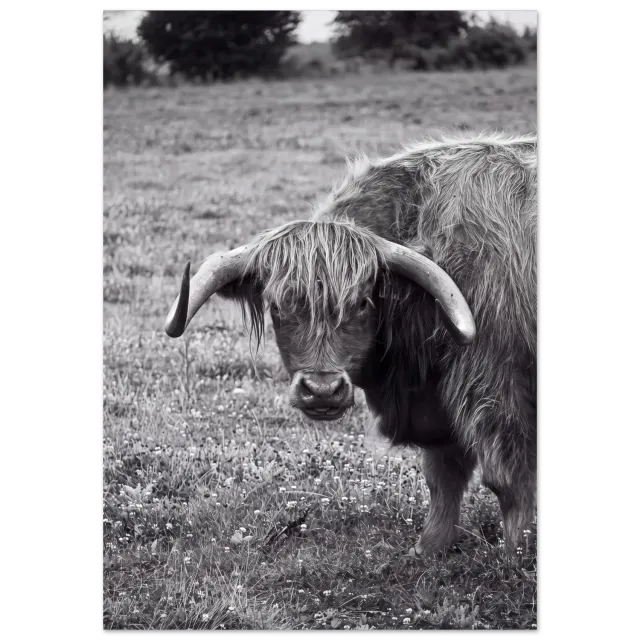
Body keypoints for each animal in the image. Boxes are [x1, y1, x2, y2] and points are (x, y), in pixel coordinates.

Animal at [164, 131, 538, 557]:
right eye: (277, 305)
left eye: (362, 302)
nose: (322, 390)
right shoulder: (439, 404)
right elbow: (442, 473)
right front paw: (429, 547)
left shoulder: (498, 385)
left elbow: (507, 480)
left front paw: (516, 554)